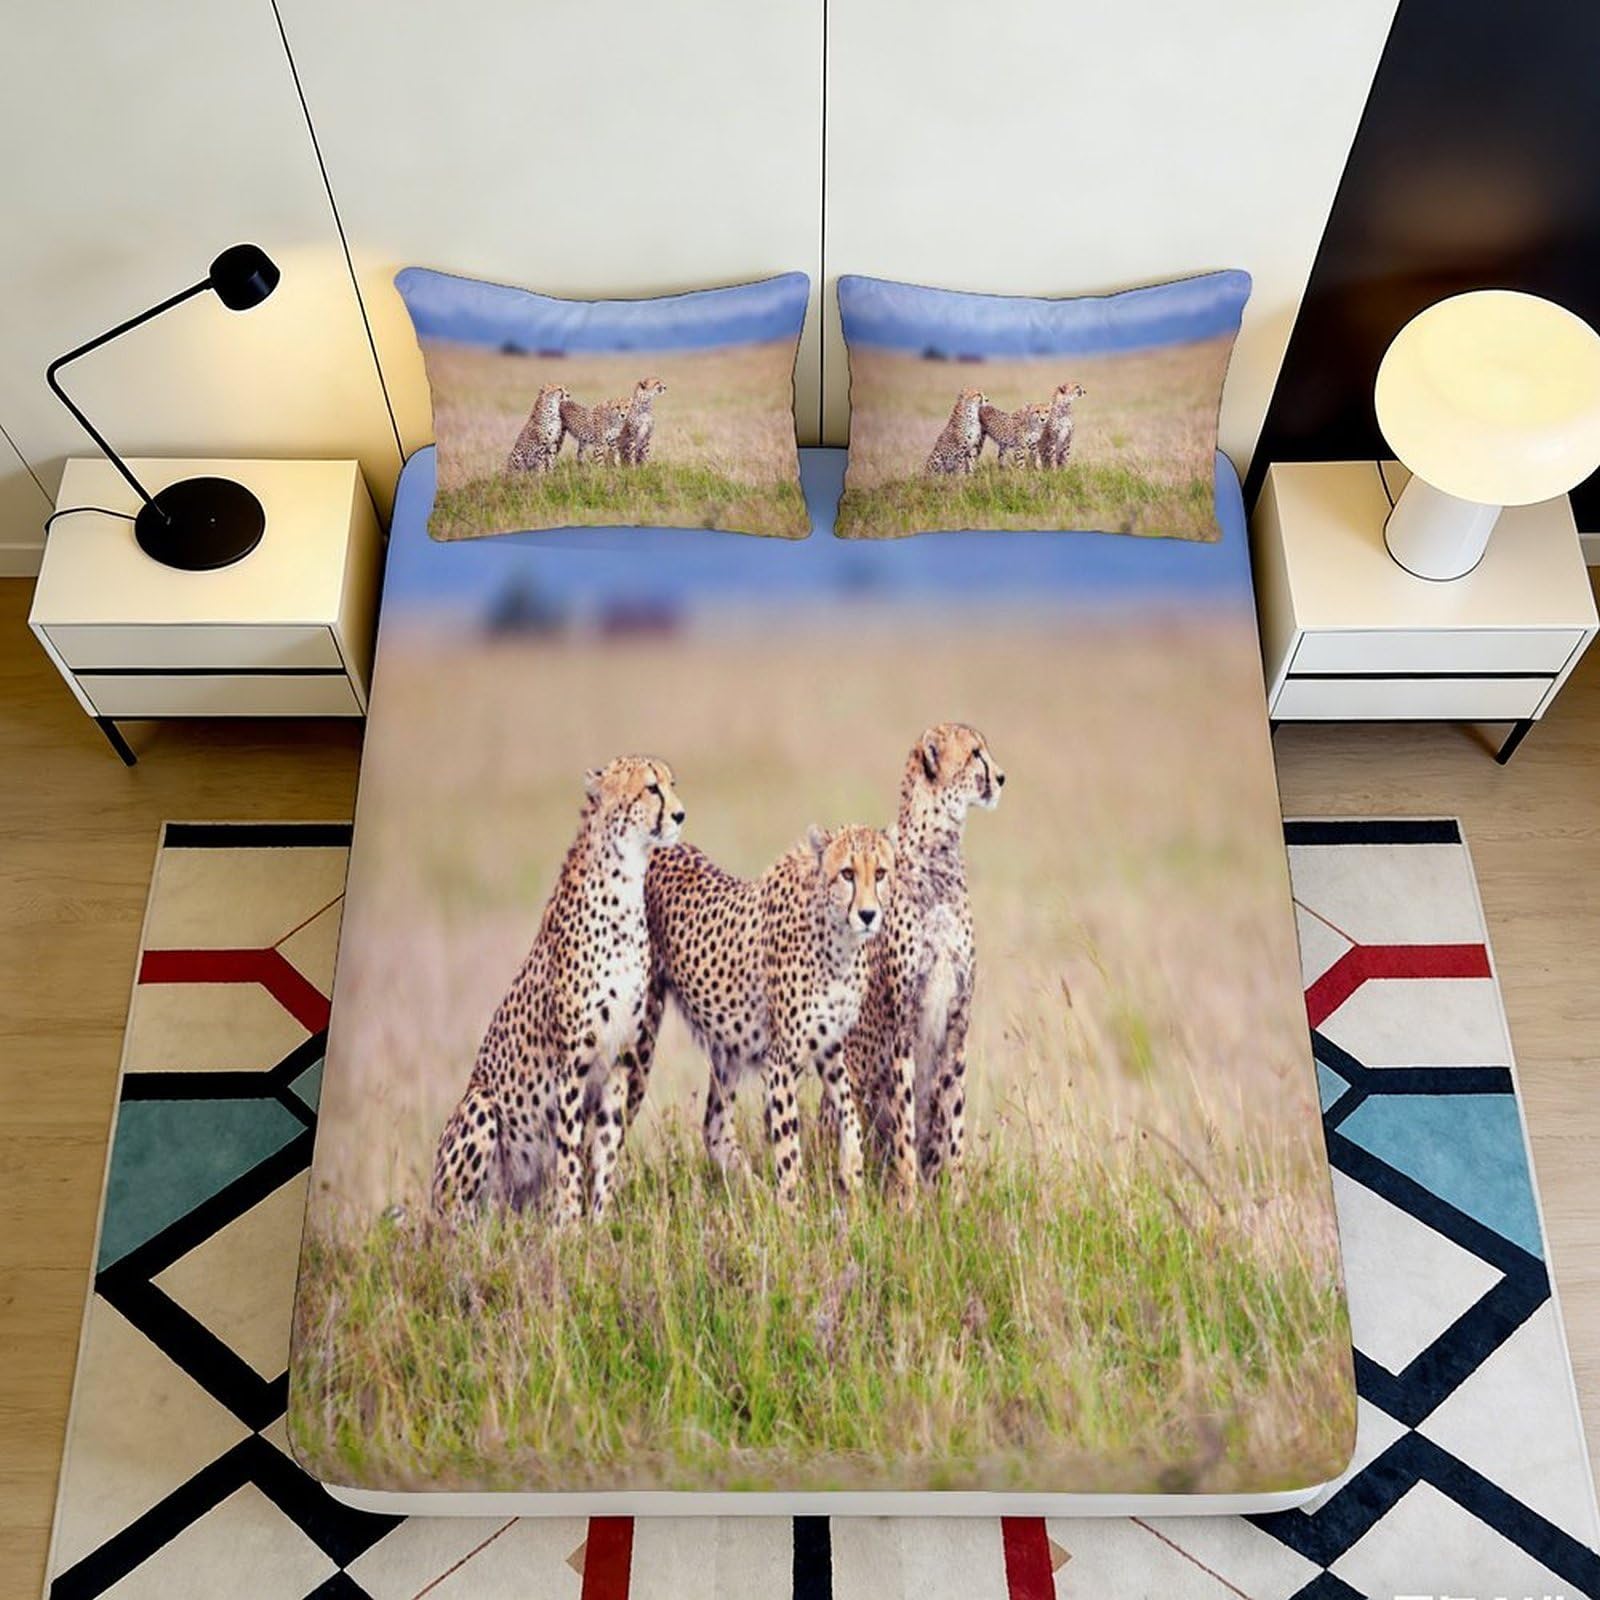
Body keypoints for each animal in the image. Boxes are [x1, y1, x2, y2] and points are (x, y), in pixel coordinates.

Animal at [429, 756, 685, 1226]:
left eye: (671, 784)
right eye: (650, 788)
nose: (680, 815)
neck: (624, 886)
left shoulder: (619, 1060)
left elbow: (605, 1151)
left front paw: (599, 1223)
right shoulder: (573, 1063)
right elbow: (569, 1152)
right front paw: (568, 1225)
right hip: (480, 1106)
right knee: (454, 1220)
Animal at [633, 825, 896, 1203]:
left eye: (881, 873)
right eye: (847, 873)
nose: (868, 915)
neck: (838, 939)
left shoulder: (830, 1048)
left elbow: (848, 1113)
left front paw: (853, 1179)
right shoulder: (781, 1059)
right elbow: (788, 1144)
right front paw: (792, 1208)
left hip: (726, 1047)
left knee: (714, 1127)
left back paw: (753, 1191)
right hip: (640, 1032)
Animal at [841, 723, 1005, 1199]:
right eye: (975, 754)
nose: (1002, 777)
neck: (940, 855)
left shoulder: (957, 1020)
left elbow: (952, 1121)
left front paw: (954, 1198)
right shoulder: (903, 1028)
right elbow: (905, 1128)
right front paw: (909, 1202)